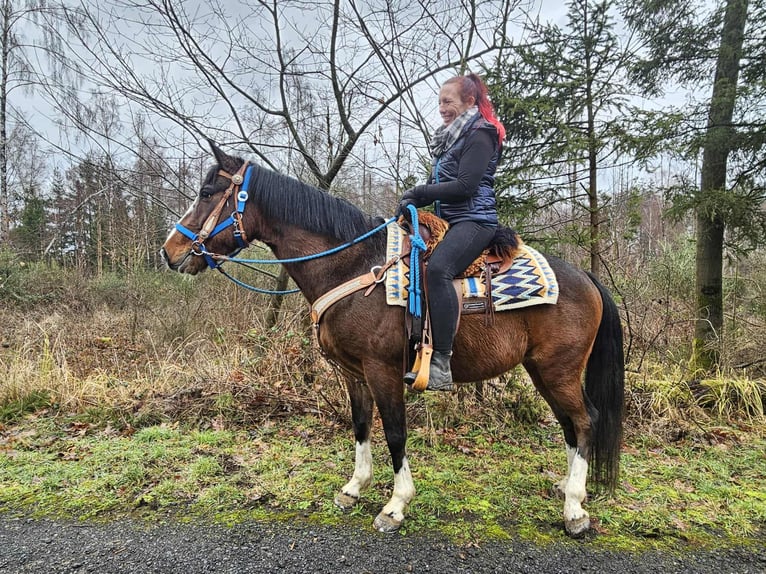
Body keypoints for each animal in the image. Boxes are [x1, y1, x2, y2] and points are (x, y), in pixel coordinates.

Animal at [160, 142, 625, 537]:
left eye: (206, 192)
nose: (169, 251)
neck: (351, 265)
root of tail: (587, 277)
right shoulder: (353, 373)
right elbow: (361, 426)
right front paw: (353, 488)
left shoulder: (382, 369)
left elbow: (396, 433)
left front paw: (396, 506)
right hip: (543, 371)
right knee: (569, 424)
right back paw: (569, 490)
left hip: (558, 369)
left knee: (586, 420)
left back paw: (575, 510)